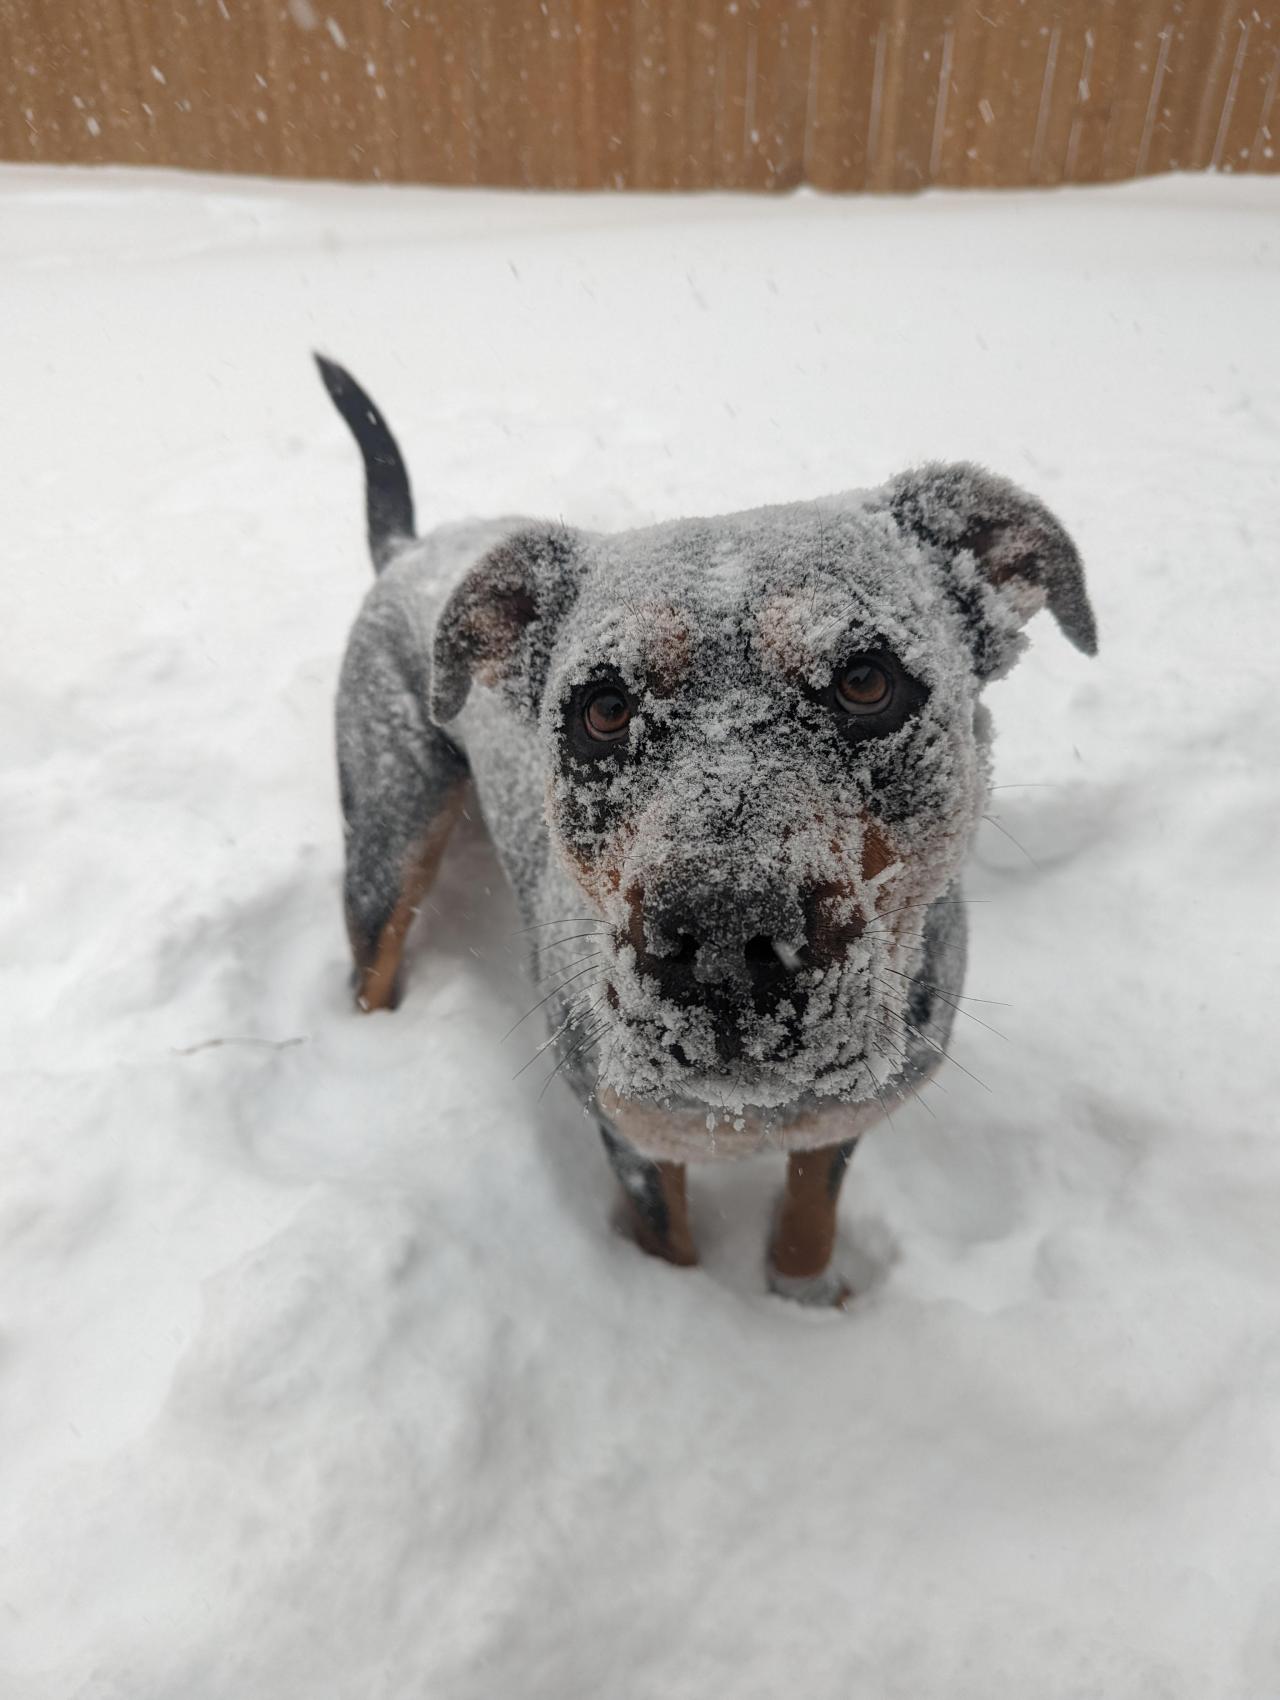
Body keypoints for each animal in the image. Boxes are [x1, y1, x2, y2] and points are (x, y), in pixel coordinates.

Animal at [314, 358, 1094, 1305]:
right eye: (603, 708)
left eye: (868, 681)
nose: (722, 932)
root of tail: (410, 548)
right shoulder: (633, 1135)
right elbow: (670, 1238)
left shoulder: (848, 1111)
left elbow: (810, 1211)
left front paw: (801, 1300)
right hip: (389, 823)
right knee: (374, 950)